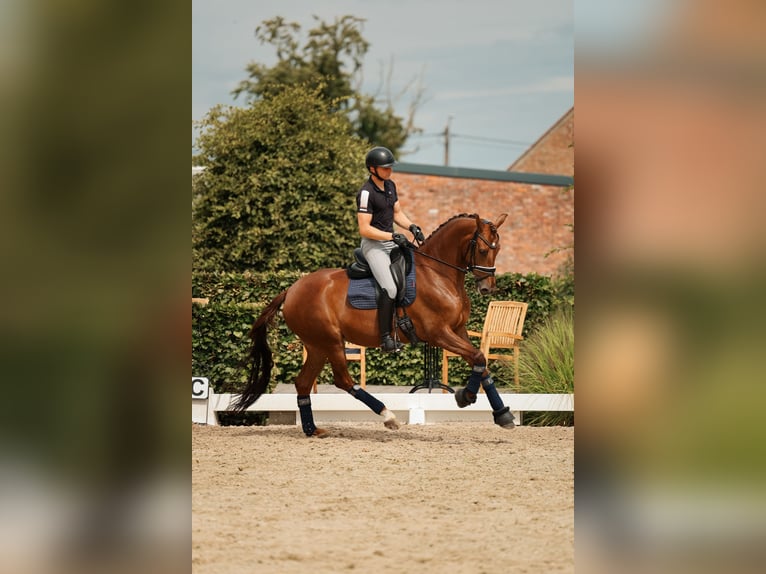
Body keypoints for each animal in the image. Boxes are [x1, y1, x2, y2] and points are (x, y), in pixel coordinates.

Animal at [231, 213, 515, 436]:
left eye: (498, 249)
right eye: (483, 250)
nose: (487, 288)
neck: (438, 274)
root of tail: (291, 290)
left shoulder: (458, 331)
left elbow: (481, 362)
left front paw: (502, 414)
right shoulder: (438, 333)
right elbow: (478, 357)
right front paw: (465, 396)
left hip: (317, 346)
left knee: (303, 383)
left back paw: (312, 430)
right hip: (331, 342)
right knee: (343, 380)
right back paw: (387, 416)